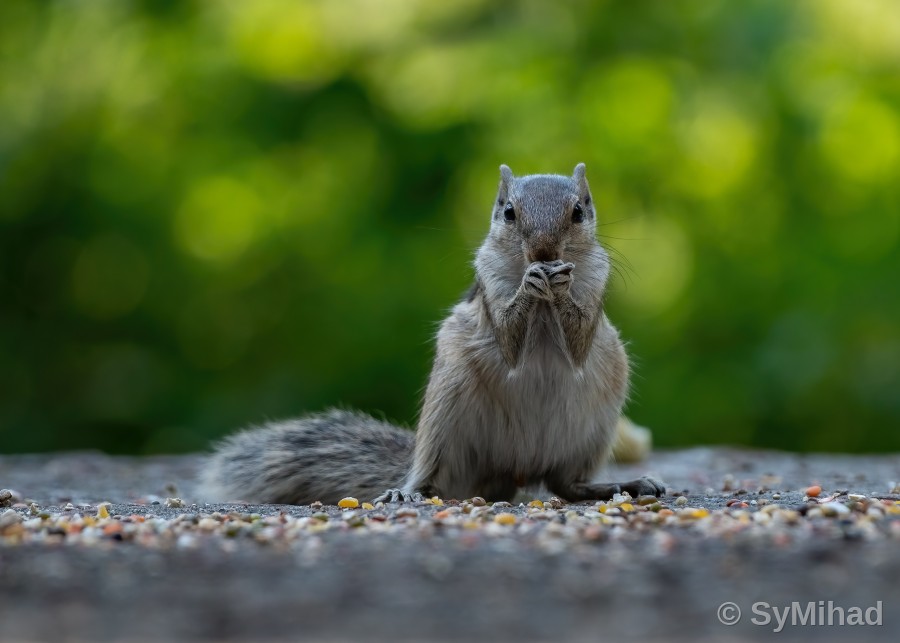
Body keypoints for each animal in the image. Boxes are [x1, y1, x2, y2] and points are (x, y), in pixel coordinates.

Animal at [200, 164, 664, 505]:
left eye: (578, 212)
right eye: (509, 212)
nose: (544, 252)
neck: (544, 304)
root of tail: (513, 472)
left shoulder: (596, 287)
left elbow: (579, 340)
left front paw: (560, 284)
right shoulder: (488, 288)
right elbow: (509, 340)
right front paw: (530, 283)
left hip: (594, 428)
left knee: (565, 485)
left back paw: (620, 485)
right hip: (446, 411)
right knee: (435, 477)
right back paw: (408, 493)